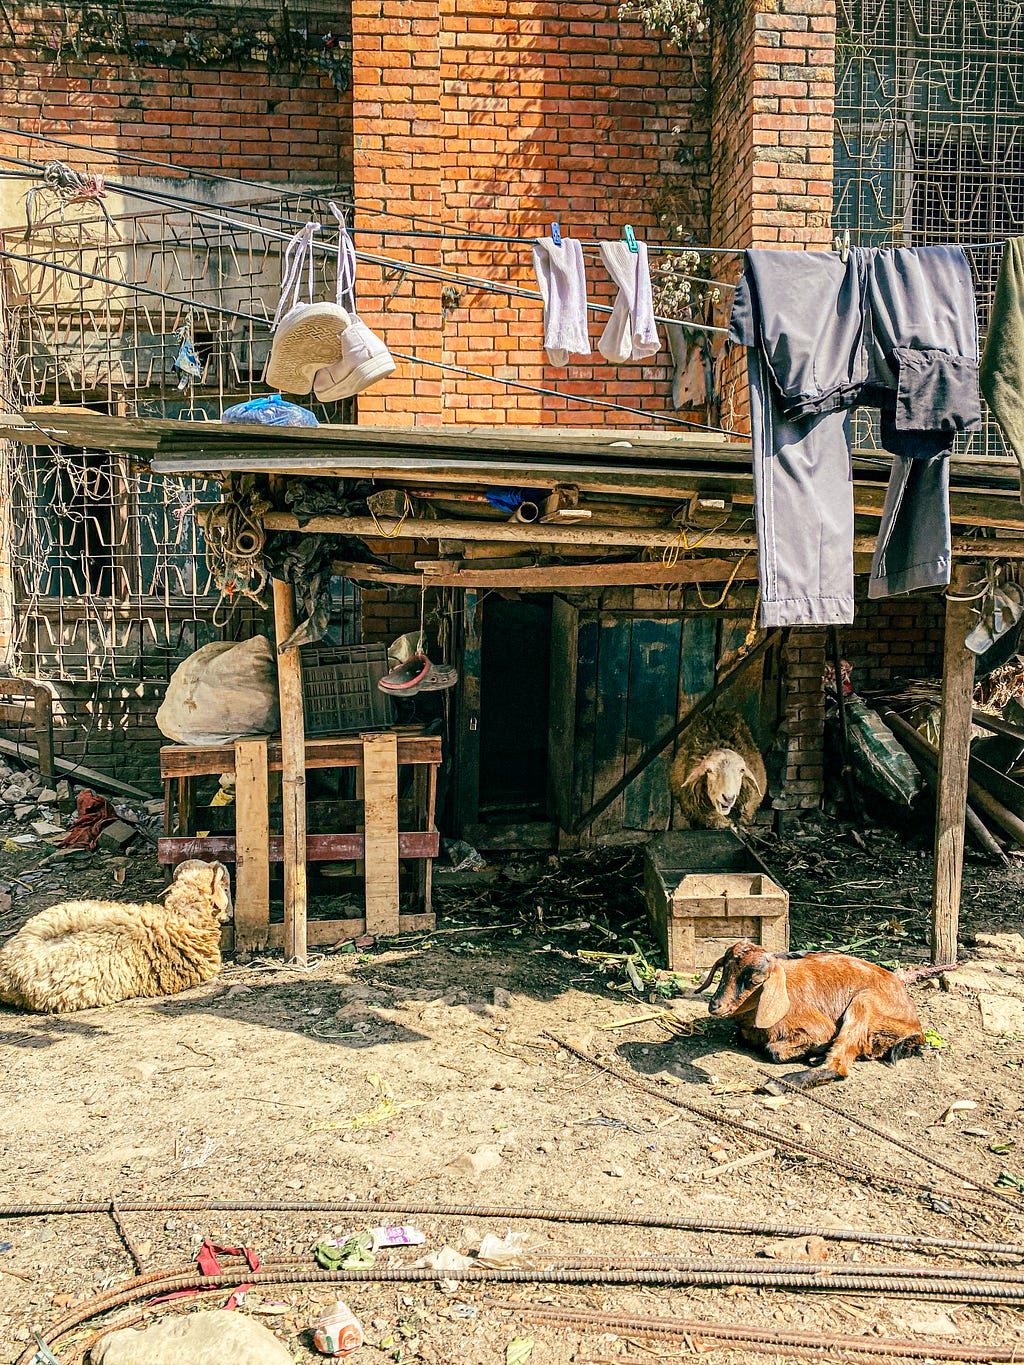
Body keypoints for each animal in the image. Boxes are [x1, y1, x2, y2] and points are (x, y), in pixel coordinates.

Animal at [699, 939, 928, 1086]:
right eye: (724, 970)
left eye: (755, 981)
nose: (715, 1005)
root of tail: (916, 1029)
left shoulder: (818, 1027)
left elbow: (773, 1050)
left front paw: (815, 1048)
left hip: (863, 1003)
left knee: (839, 1066)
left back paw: (781, 1083)